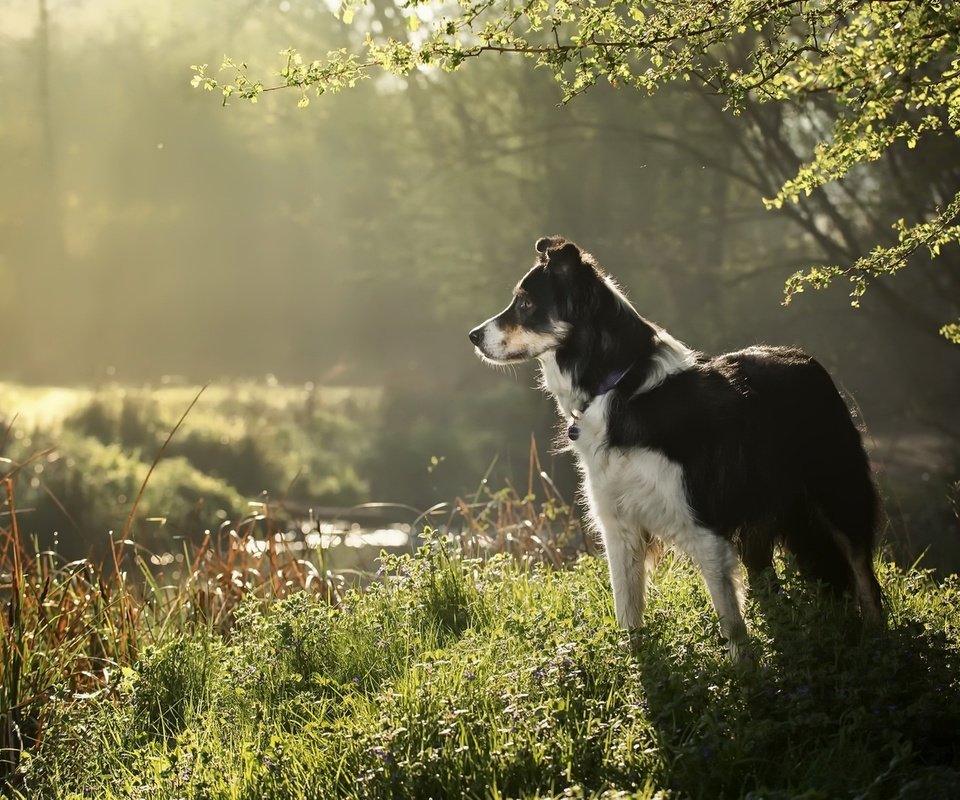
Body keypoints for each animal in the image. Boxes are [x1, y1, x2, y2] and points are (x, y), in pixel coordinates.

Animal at [468, 238, 880, 664]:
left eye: (525, 304)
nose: (473, 336)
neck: (621, 385)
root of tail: (807, 359)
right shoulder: (619, 527)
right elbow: (628, 613)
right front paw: (637, 669)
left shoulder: (703, 525)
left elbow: (730, 621)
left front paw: (745, 672)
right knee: (768, 580)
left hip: (839, 493)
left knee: (864, 574)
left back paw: (876, 638)